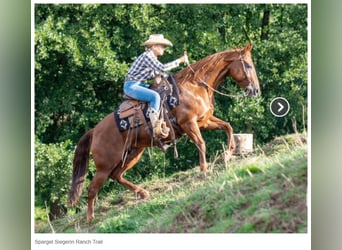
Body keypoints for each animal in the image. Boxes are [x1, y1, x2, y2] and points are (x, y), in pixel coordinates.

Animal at [70, 42, 262, 221]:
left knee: (116, 175)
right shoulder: (189, 123)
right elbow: (201, 143)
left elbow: (228, 127)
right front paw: (204, 170)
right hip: (105, 164)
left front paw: (228, 154)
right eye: (248, 65)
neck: (194, 86)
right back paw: (90, 218)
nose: (256, 90)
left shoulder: (204, 121)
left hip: (133, 152)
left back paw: (143, 193)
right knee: (93, 188)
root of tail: (95, 131)